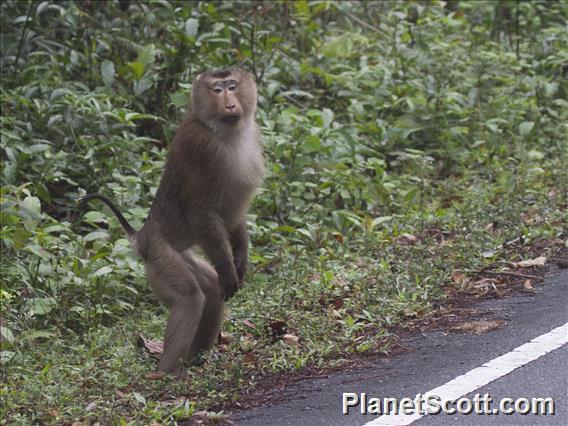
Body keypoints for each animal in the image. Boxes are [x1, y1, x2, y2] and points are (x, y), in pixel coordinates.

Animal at [81, 69, 266, 372]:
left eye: (232, 86)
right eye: (217, 90)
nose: (229, 104)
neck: (222, 132)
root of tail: (142, 234)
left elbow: (235, 216)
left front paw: (240, 260)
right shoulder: (202, 149)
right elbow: (200, 211)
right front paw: (230, 270)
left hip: (180, 252)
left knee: (210, 287)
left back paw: (197, 358)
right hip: (159, 254)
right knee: (189, 297)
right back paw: (166, 372)